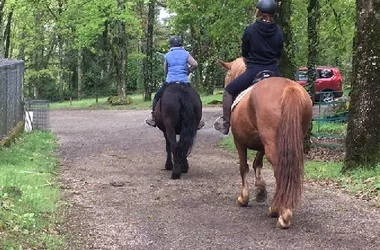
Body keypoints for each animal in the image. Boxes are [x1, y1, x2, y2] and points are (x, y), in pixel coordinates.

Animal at [218, 57, 314, 229]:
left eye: (228, 75)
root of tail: (289, 88)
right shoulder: (262, 144)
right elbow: (257, 163)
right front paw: (261, 191)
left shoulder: (239, 141)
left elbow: (244, 167)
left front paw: (244, 198)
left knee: (280, 171)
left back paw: (280, 212)